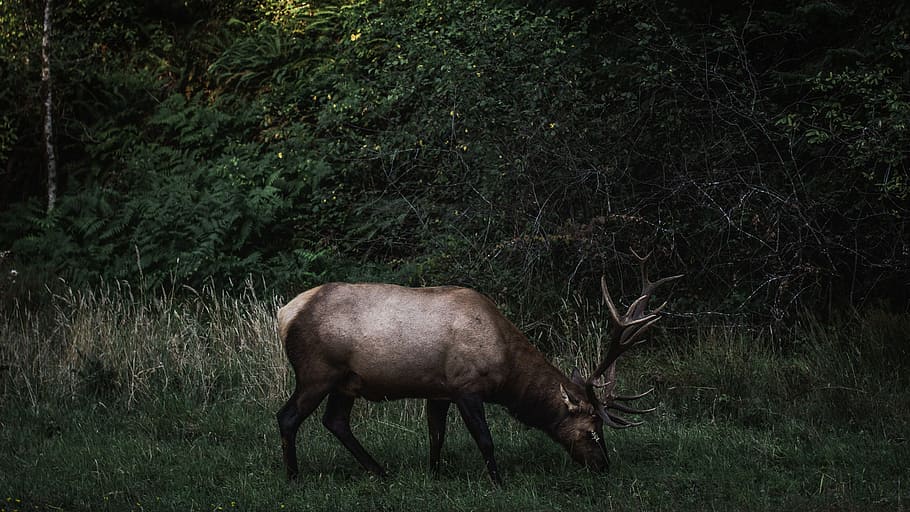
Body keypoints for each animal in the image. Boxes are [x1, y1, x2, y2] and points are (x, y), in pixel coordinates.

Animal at [276, 252, 681, 485]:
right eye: (593, 427)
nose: (603, 466)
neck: (507, 372)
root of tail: (284, 314)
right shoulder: (466, 386)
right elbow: (485, 439)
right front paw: (498, 482)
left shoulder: (438, 390)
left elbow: (436, 436)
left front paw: (435, 474)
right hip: (317, 372)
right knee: (288, 416)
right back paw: (294, 477)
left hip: (346, 381)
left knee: (335, 421)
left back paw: (379, 471)